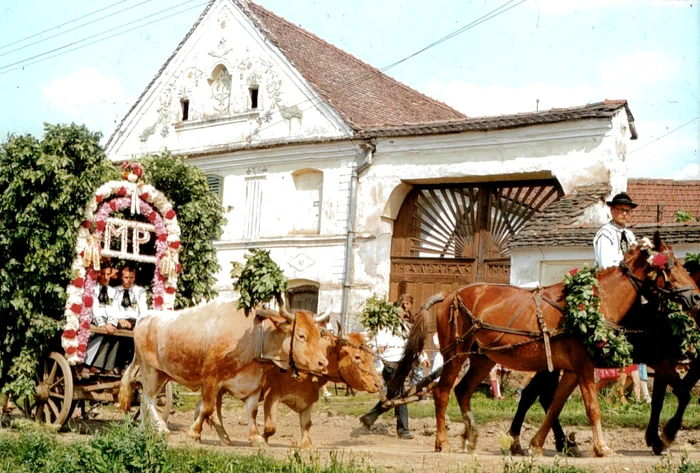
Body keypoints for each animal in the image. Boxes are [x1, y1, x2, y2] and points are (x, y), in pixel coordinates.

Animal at [396, 234, 696, 456]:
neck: (590, 304)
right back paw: (443, 441)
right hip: (456, 354)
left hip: (484, 358)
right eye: (672, 265)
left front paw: (538, 444)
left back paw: (472, 437)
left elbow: (555, 406)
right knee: (442, 392)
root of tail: (450, 294)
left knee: (463, 390)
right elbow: (592, 407)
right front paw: (603, 446)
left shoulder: (573, 369)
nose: (695, 297)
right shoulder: (586, 366)